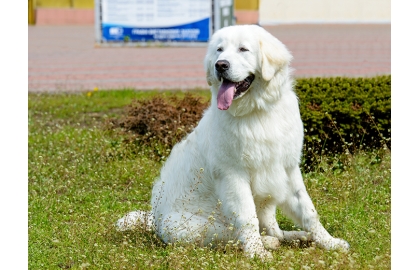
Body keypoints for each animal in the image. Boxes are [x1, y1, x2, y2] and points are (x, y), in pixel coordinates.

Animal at [116, 25, 350, 260]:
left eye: (243, 49)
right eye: (219, 50)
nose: (221, 65)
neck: (257, 111)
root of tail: (154, 219)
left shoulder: (288, 170)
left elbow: (309, 211)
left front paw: (329, 242)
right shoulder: (234, 176)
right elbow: (247, 218)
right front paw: (257, 252)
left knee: (274, 229)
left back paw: (298, 236)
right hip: (197, 226)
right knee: (233, 236)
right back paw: (268, 242)